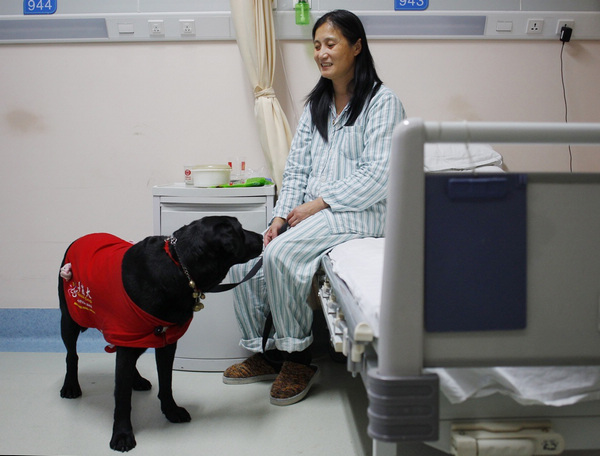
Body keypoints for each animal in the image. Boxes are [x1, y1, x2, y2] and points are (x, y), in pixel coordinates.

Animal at [58, 217, 262, 452]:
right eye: (240, 230)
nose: (261, 236)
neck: (179, 266)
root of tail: (82, 238)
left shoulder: (165, 340)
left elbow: (166, 382)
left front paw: (171, 410)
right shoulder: (127, 335)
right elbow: (122, 396)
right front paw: (122, 434)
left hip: (140, 336)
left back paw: (136, 380)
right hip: (70, 320)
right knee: (72, 355)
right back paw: (71, 385)